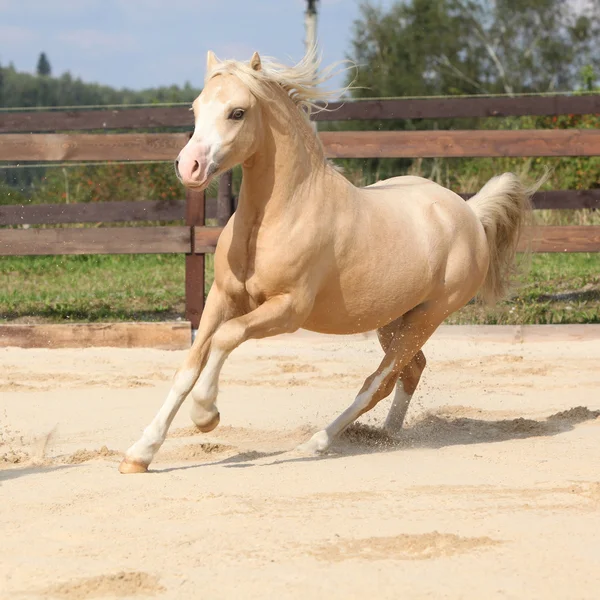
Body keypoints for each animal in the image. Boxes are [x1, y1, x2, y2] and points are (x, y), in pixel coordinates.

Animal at [117, 50, 536, 474]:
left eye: (237, 112)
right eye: (196, 107)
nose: (189, 167)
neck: (283, 213)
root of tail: (469, 212)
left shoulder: (289, 309)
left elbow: (227, 337)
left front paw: (206, 415)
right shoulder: (222, 296)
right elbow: (189, 365)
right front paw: (139, 454)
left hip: (428, 316)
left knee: (378, 382)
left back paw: (316, 442)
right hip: (394, 319)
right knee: (411, 369)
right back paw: (387, 435)